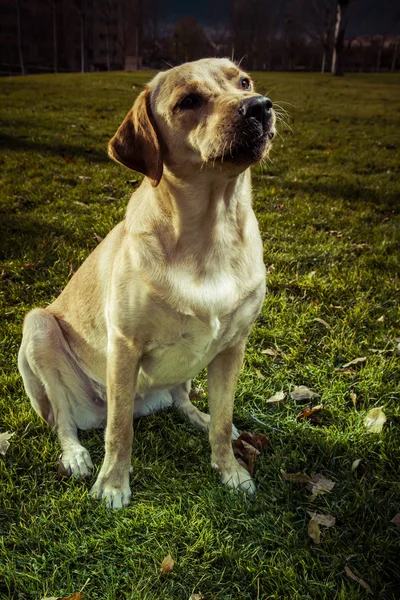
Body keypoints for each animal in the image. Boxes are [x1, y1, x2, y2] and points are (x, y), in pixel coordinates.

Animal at [18, 57, 276, 506]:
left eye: (244, 82)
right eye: (188, 101)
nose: (259, 106)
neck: (211, 233)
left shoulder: (233, 347)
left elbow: (224, 422)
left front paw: (231, 471)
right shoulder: (124, 346)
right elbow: (120, 429)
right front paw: (113, 484)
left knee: (182, 398)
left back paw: (197, 415)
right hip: (38, 327)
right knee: (66, 419)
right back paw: (75, 455)